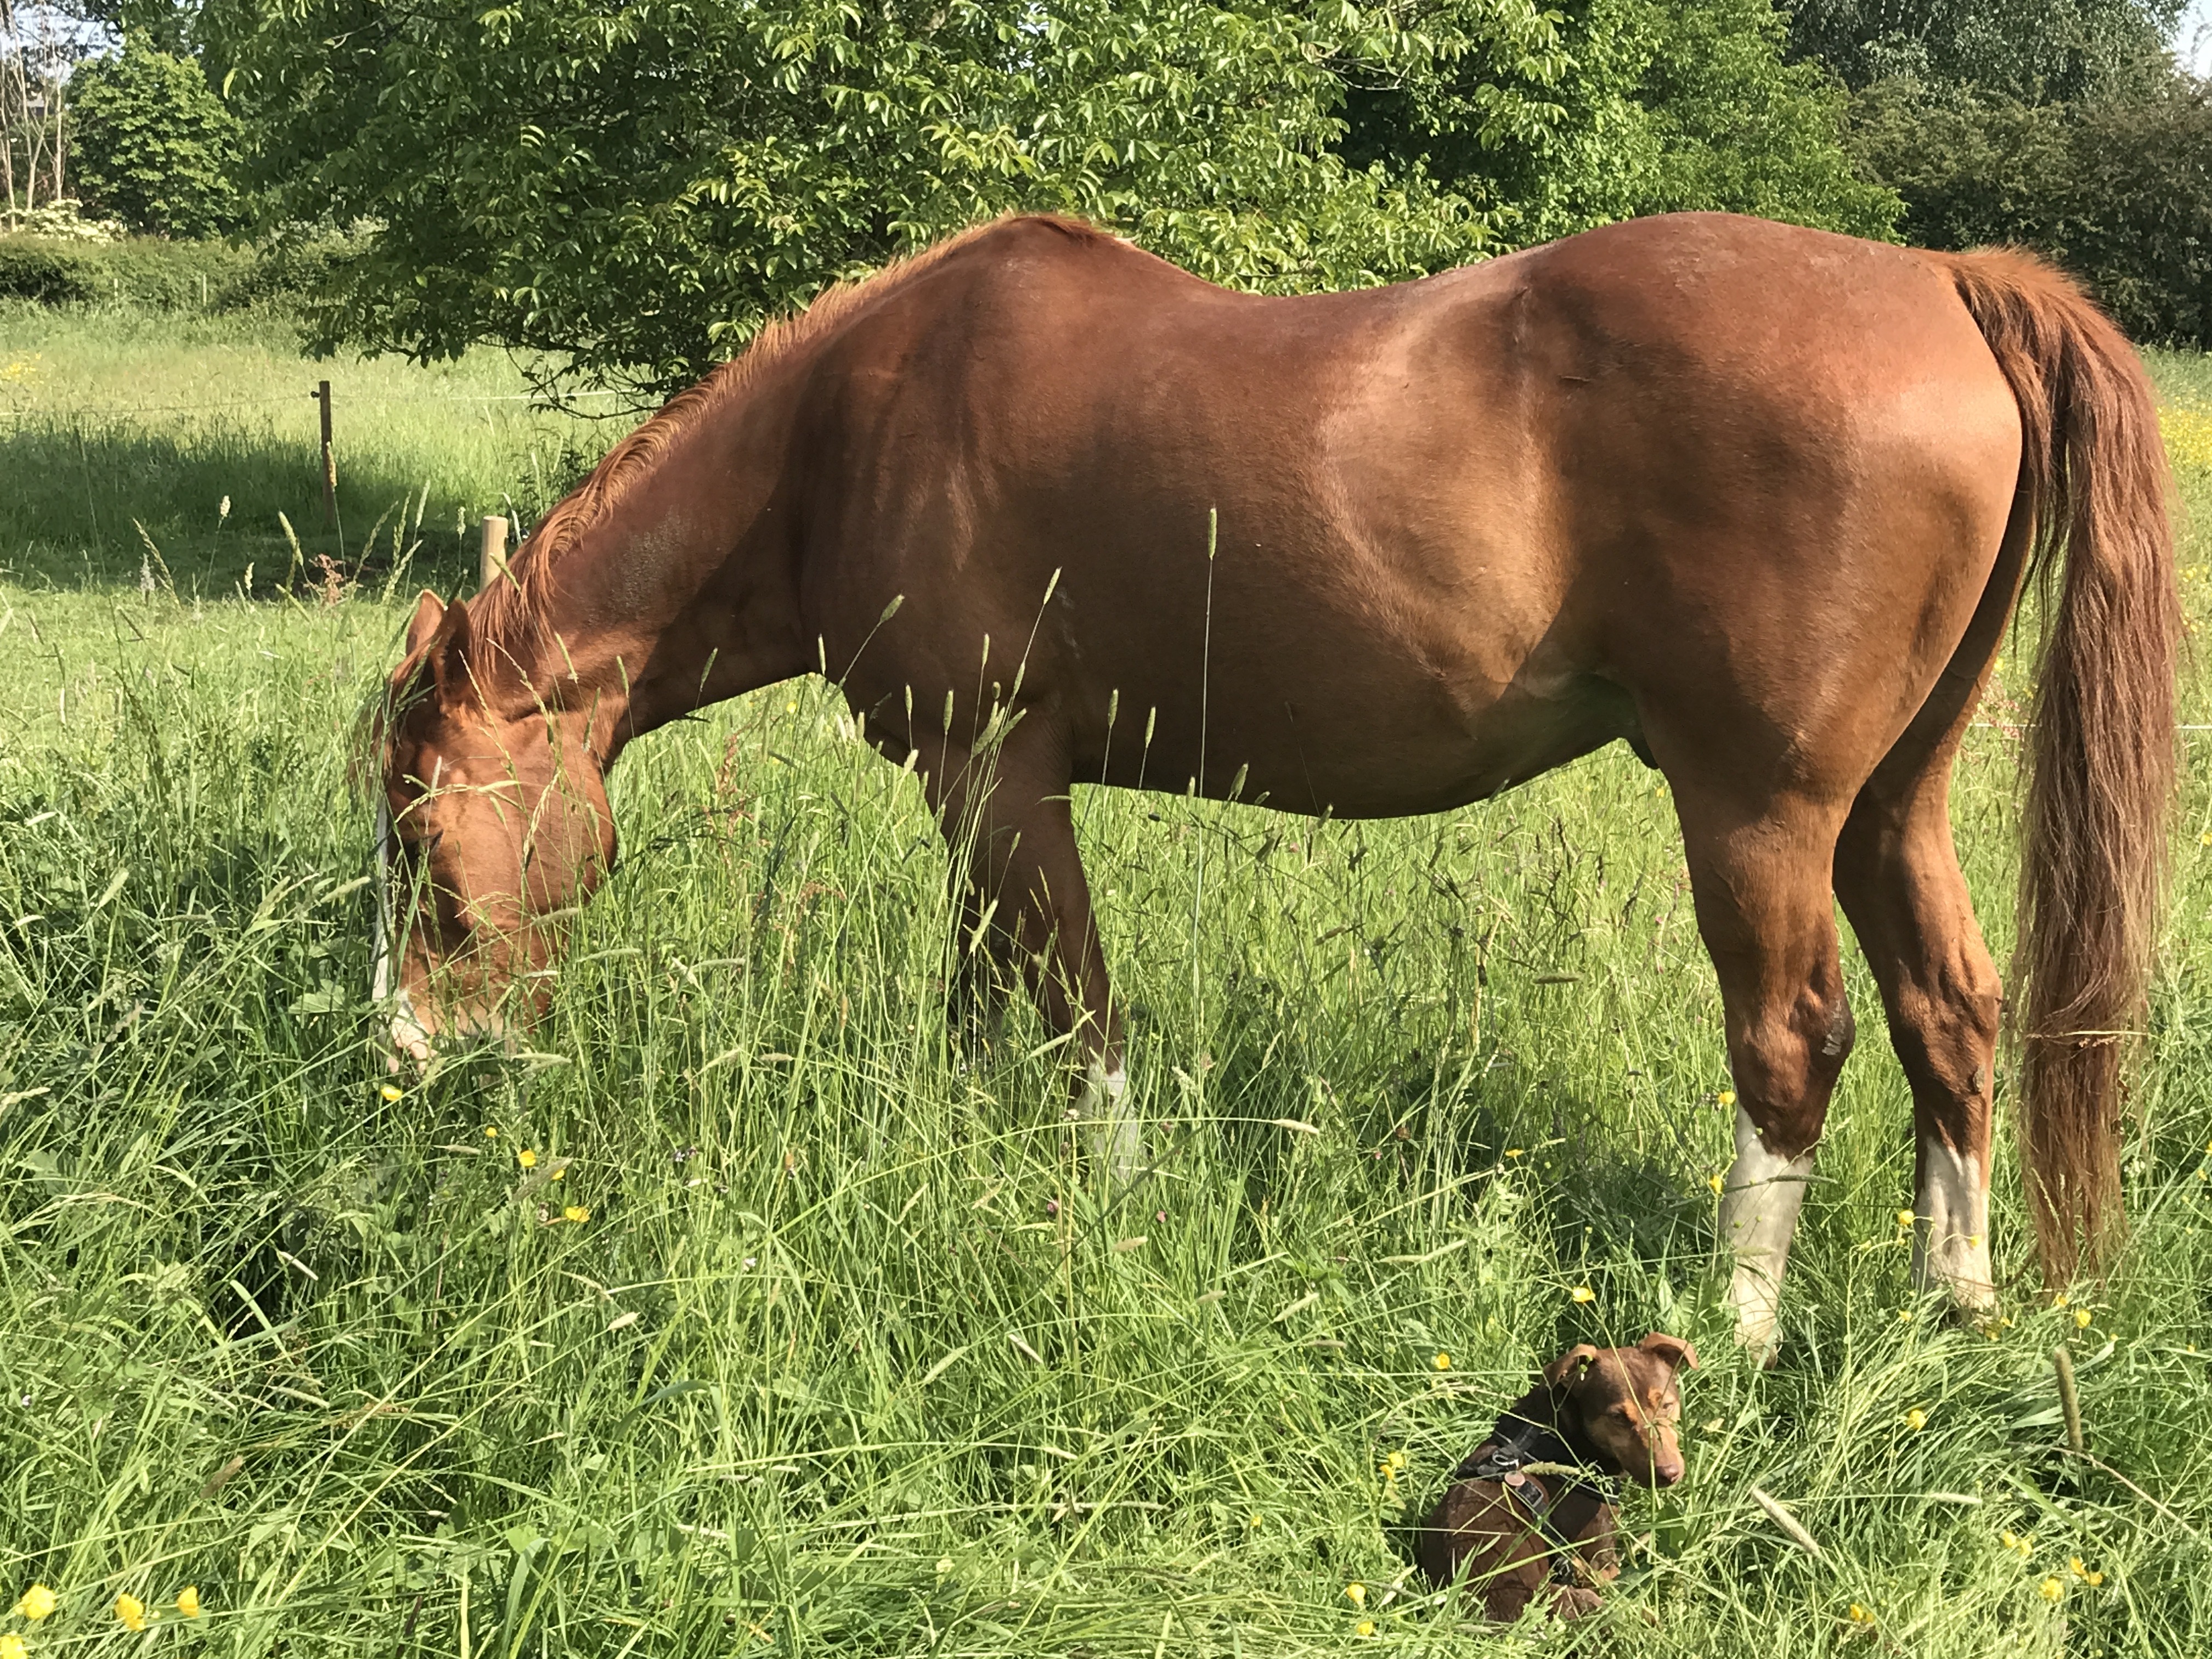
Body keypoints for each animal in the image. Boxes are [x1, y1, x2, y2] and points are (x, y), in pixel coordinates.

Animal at [371, 211, 2168, 1353]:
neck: (847, 429)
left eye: (424, 842)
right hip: (1892, 803)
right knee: (1951, 1007)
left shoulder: (999, 769)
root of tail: (1941, 286)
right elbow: (984, 995)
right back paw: (1956, 1298)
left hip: (1762, 810)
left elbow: (1074, 1004)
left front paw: (1116, 1203)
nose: (404, 1061)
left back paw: (1735, 1337)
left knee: (1796, 1044)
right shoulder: (973, 792)